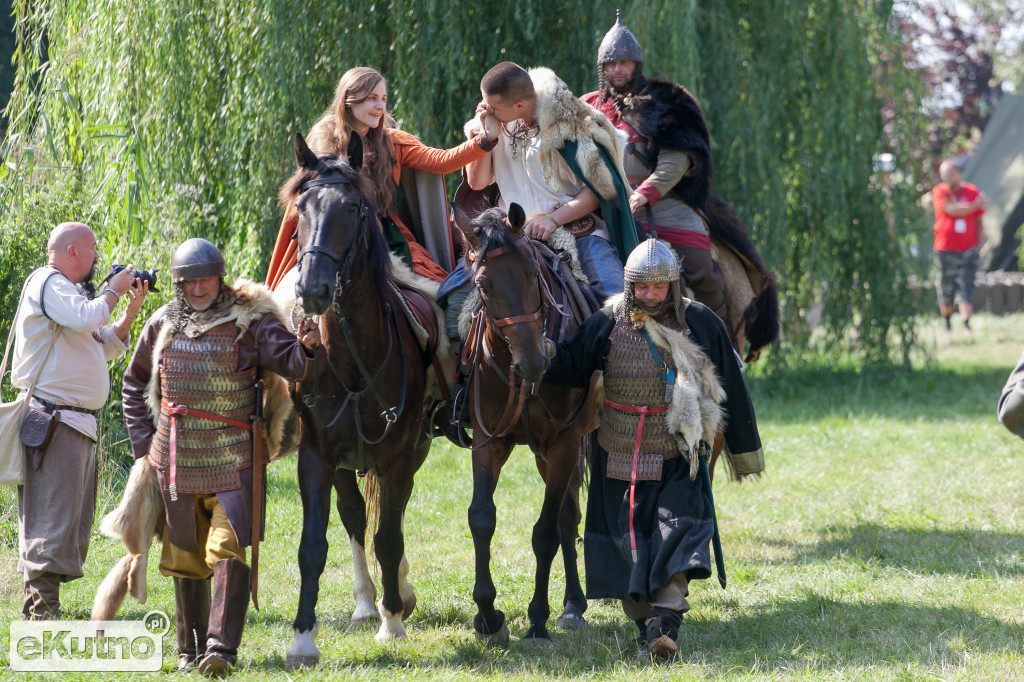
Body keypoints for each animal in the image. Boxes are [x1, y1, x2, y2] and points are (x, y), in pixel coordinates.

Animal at [282, 133, 434, 663]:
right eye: (301, 207)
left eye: (351, 207)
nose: (313, 289)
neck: (350, 359)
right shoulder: (317, 455)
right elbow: (313, 544)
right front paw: (303, 638)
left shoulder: (398, 454)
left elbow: (388, 537)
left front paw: (393, 623)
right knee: (354, 515)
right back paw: (368, 601)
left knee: (392, 517)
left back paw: (395, 598)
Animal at [454, 202, 602, 643]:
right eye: (483, 285)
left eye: (533, 275)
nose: (534, 363)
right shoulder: (490, 440)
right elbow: (481, 518)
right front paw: (488, 615)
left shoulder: (564, 443)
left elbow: (545, 532)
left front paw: (537, 618)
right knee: (570, 516)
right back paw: (572, 605)